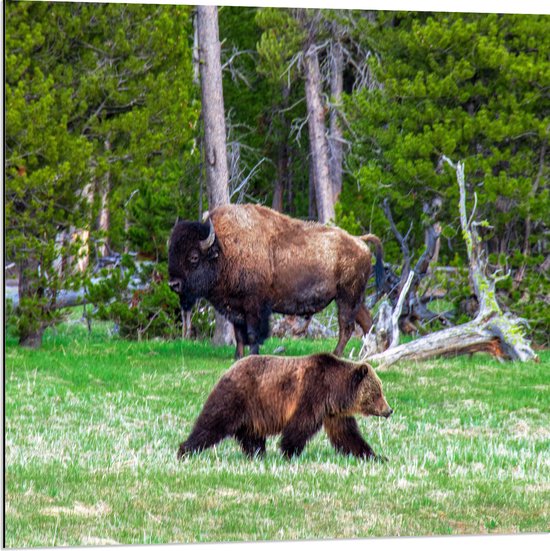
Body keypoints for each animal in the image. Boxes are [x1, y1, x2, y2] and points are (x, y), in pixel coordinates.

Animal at [168, 205, 384, 360]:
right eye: (171, 252)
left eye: (194, 257)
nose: (173, 285)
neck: (224, 249)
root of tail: (359, 240)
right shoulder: (235, 307)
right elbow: (239, 335)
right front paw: (237, 357)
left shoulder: (254, 306)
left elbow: (253, 333)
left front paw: (252, 355)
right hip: (355, 298)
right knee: (366, 322)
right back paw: (371, 353)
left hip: (346, 297)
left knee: (346, 326)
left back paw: (336, 354)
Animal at [177, 354, 392, 462]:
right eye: (377, 393)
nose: (389, 410)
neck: (334, 390)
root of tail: (228, 369)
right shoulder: (312, 393)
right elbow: (300, 426)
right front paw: (289, 453)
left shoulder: (334, 412)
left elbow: (347, 435)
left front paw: (376, 456)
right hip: (238, 396)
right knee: (212, 423)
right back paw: (185, 450)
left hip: (253, 411)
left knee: (251, 436)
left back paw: (258, 455)